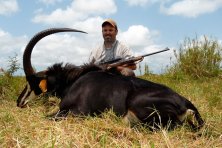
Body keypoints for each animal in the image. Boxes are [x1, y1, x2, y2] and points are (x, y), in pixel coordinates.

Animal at [17, 27, 205, 130]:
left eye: (30, 83)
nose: (19, 102)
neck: (74, 81)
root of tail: (185, 102)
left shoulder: (77, 112)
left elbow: (47, 117)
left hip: (137, 104)